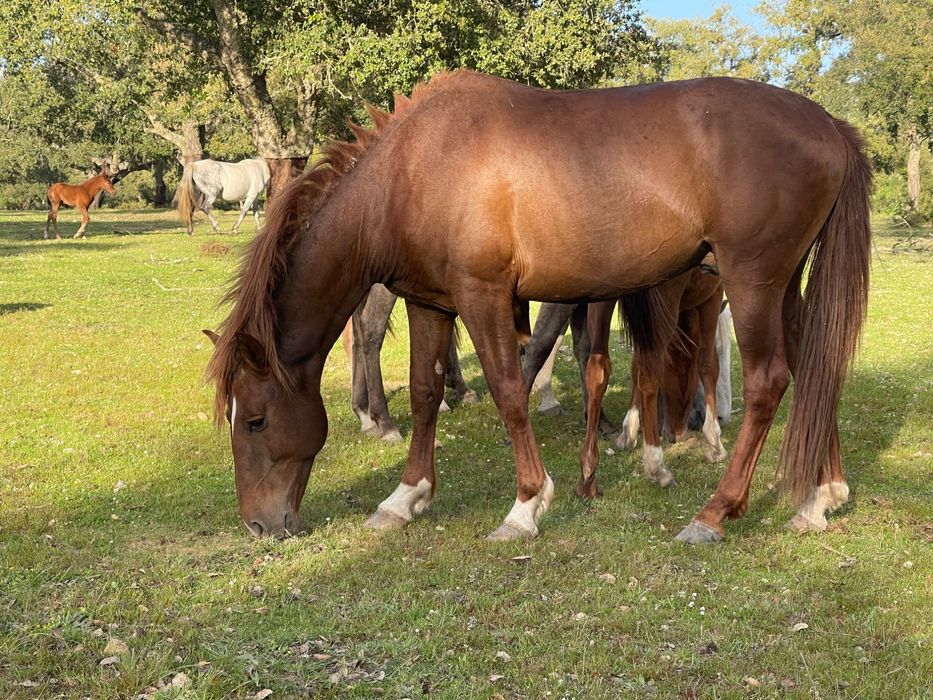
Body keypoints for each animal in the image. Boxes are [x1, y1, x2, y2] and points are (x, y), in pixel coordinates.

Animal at [205, 71, 871, 543]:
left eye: (256, 419)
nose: (258, 524)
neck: (412, 170)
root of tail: (828, 124)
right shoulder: (429, 303)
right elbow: (424, 393)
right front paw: (405, 496)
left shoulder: (483, 296)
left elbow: (508, 388)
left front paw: (526, 505)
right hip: (785, 286)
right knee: (814, 367)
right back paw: (819, 497)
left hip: (754, 280)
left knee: (769, 381)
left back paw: (715, 513)